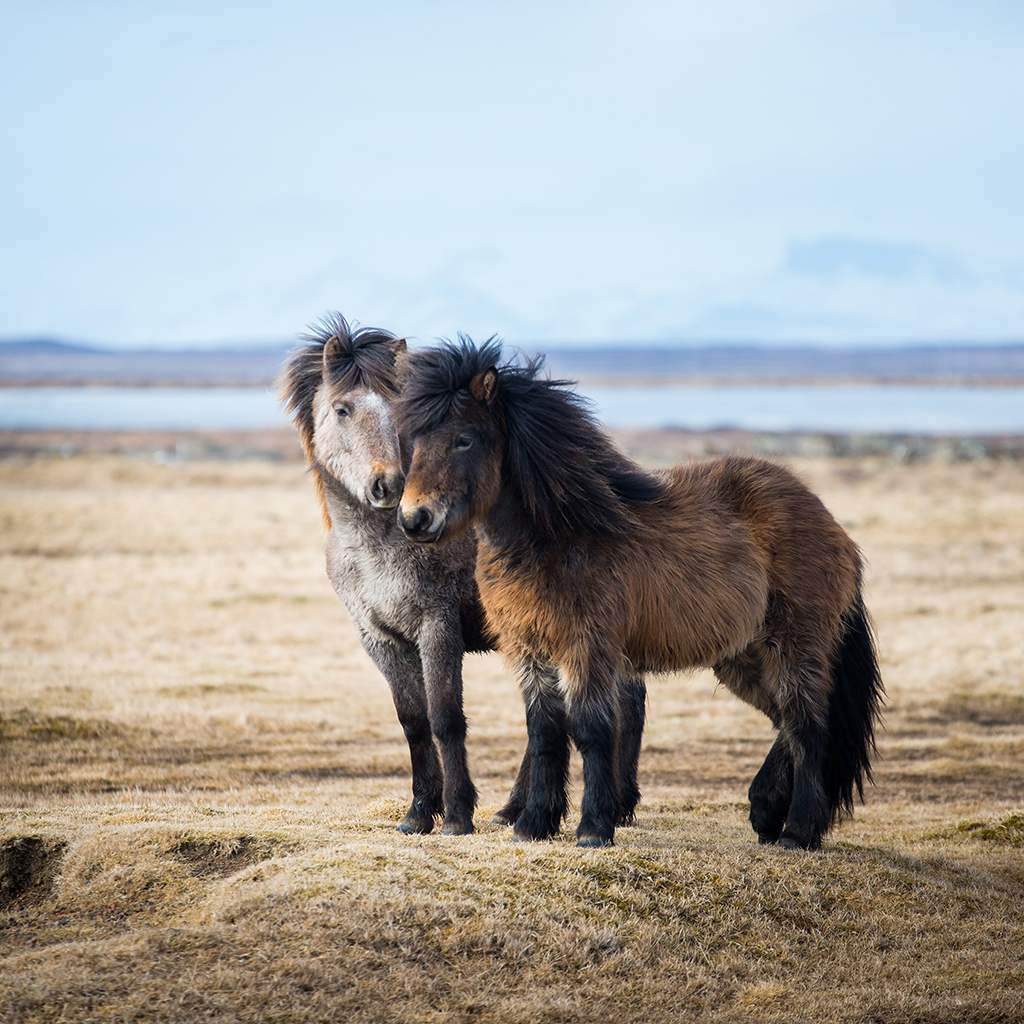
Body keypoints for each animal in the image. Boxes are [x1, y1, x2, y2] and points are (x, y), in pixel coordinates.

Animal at [395, 337, 885, 850]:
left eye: (464, 438)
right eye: (415, 439)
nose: (414, 519)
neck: (559, 534)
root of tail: (832, 525)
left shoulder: (587, 647)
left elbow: (591, 730)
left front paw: (593, 829)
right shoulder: (529, 649)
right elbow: (544, 732)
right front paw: (534, 825)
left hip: (794, 645)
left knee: (810, 728)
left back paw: (798, 831)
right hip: (742, 656)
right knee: (786, 723)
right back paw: (766, 811)